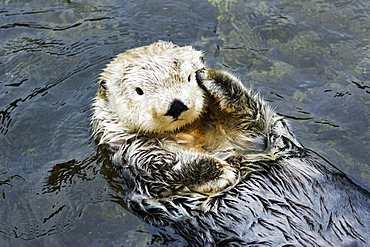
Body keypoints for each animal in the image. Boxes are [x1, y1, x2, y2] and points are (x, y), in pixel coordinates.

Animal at [92, 41, 370, 246]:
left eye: (189, 77)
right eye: (139, 91)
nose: (176, 105)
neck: (190, 133)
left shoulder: (259, 141)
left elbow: (256, 124)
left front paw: (215, 80)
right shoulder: (129, 153)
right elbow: (162, 165)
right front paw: (219, 172)